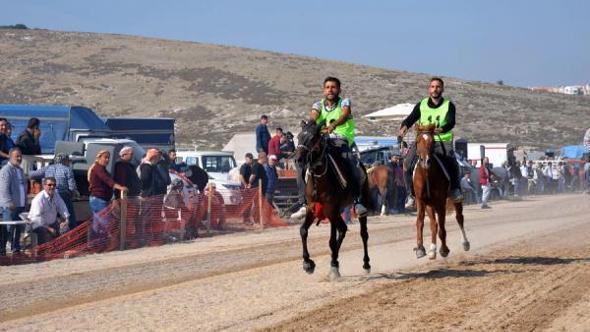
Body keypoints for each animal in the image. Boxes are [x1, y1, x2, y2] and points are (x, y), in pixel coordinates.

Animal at [294, 120, 372, 278]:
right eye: (299, 137)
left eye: (313, 138)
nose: (299, 159)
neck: (319, 180)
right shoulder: (314, 208)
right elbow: (303, 230)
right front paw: (307, 263)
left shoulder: (330, 209)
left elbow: (332, 240)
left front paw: (333, 266)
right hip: (336, 212)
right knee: (342, 229)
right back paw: (334, 260)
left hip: (358, 204)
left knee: (363, 234)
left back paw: (365, 264)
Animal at [412, 124, 472, 260]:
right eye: (417, 141)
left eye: (432, 142)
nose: (425, 161)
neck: (427, 176)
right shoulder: (421, 200)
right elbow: (420, 222)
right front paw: (420, 248)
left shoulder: (440, 202)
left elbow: (442, 227)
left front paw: (444, 249)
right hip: (430, 205)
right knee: (433, 224)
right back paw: (432, 250)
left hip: (454, 200)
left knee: (459, 218)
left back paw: (465, 243)